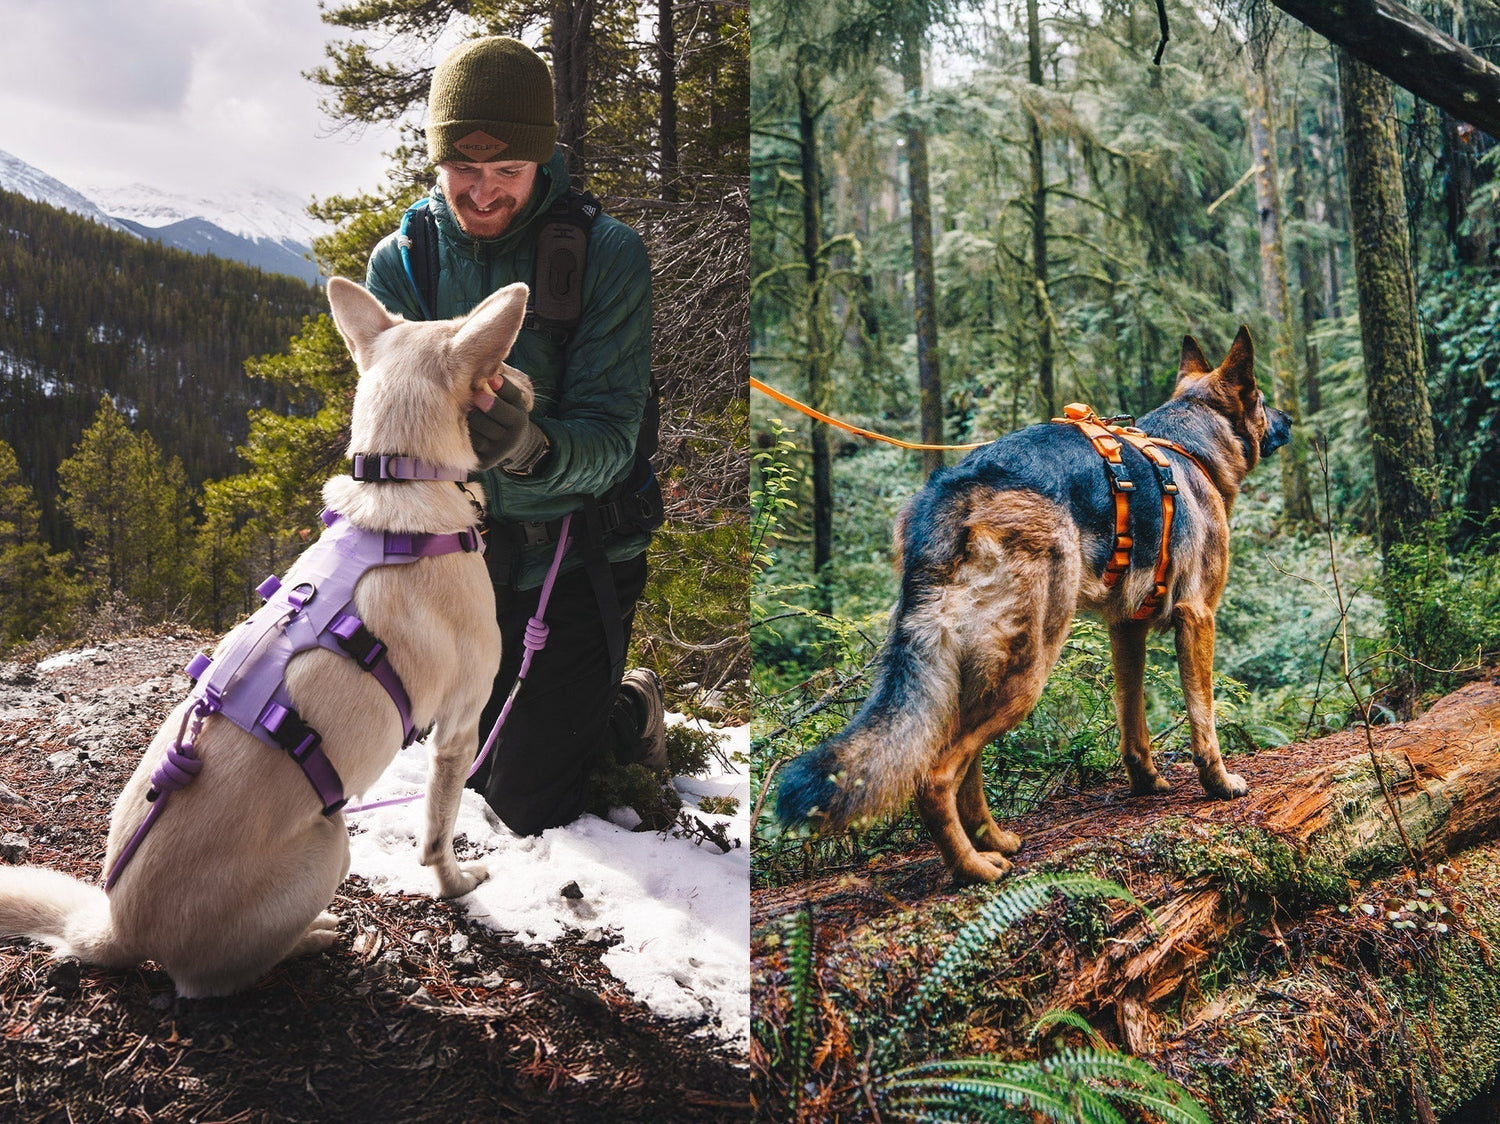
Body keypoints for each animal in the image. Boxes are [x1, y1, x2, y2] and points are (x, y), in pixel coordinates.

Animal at [0, 276, 534, 996]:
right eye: (500, 369)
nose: (529, 389)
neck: (399, 478)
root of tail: (119, 927)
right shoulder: (460, 729)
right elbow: (438, 836)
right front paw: (457, 883)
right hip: (331, 845)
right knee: (214, 981)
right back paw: (312, 938)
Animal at [774, 327, 1290, 888]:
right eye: (1261, 398)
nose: (1290, 420)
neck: (1189, 447)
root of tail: (953, 494)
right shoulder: (1198, 618)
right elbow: (1204, 718)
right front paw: (1219, 783)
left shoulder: (1124, 630)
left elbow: (1133, 724)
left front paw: (1148, 782)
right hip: (1027, 670)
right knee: (935, 775)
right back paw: (974, 868)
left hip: (975, 669)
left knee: (966, 763)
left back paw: (995, 841)